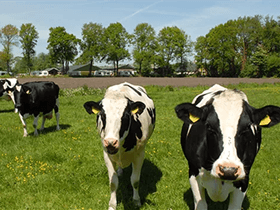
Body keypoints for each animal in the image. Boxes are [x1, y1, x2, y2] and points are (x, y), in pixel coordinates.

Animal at [84, 82, 156, 210]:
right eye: (102, 115)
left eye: (125, 116)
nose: (111, 142)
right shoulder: (107, 154)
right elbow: (113, 182)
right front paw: (112, 205)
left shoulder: (140, 153)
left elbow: (135, 180)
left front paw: (136, 201)